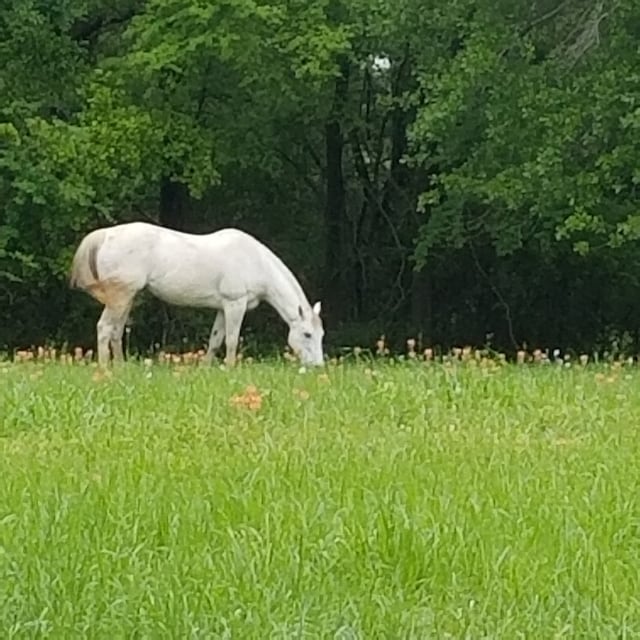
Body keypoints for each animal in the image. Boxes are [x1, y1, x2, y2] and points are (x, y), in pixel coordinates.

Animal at [69, 222, 324, 368]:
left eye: (321, 335)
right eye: (307, 334)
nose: (318, 366)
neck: (255, 261)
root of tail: (105, 235)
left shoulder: (223, 307)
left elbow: (215, 339)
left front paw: (206, 370)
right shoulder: (235, 304)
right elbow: (231, 340)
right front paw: (230, 370)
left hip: (127, 298)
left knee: (116, 332)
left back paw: (122, 368)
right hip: (121, 297)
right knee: (104, 329)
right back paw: (105, 370)